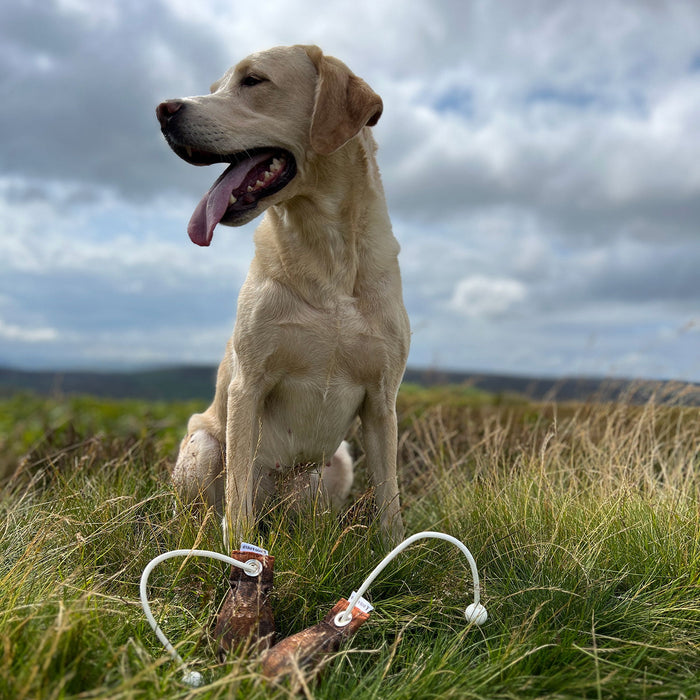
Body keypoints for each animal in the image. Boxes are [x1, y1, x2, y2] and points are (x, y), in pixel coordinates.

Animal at [157, 45, 410, 548]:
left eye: (253, 80)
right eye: (215, 88)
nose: (163, 110)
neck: (327, 255)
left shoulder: (381, 398)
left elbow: (389, 493)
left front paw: (396, 550)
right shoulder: (249, 383)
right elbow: (236, 492)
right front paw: (236, 548)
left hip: (338, 461)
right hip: (203, 443)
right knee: (202, 507)